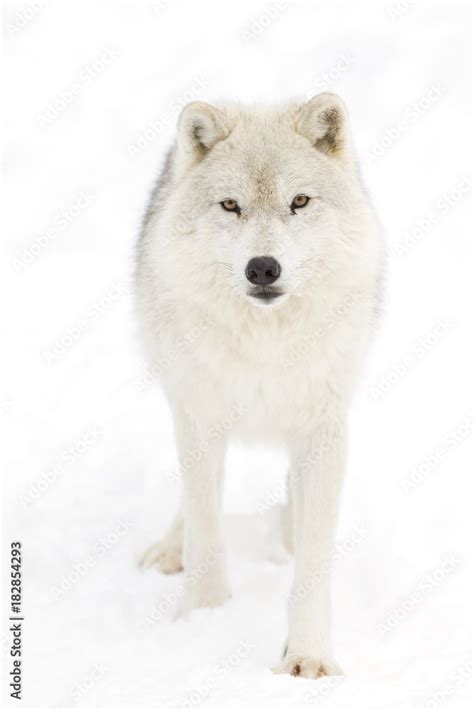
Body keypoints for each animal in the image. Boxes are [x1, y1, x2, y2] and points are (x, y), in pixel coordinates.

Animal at [135, 92, 384, 680]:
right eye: (231, 205)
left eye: (300, 201)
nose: (263, 268)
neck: (265, 347)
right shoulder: (200, 417)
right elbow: (206, 528)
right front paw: (203, 620)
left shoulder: (322, 427)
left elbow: (314, 563)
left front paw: (309, 656)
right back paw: (171, 548)